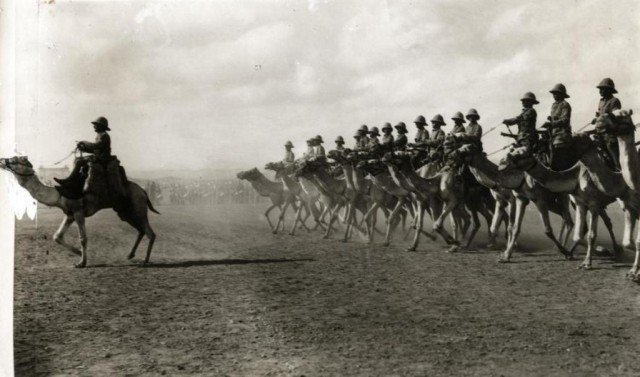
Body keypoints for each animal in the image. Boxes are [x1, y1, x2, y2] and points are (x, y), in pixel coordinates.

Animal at [0, 156, 159, 268]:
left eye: (14, 160)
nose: (2, 160)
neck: (59, 194)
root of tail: (143, 191)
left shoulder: (78, 212)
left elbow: (83, 238)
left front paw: (81, 262)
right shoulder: (69, 214)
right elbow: (57, 236)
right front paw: (78, 253)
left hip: (137, 207)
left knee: (150, 232)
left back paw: (145, 261)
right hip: (125, 212)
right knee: (141, 230)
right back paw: (130, 255)